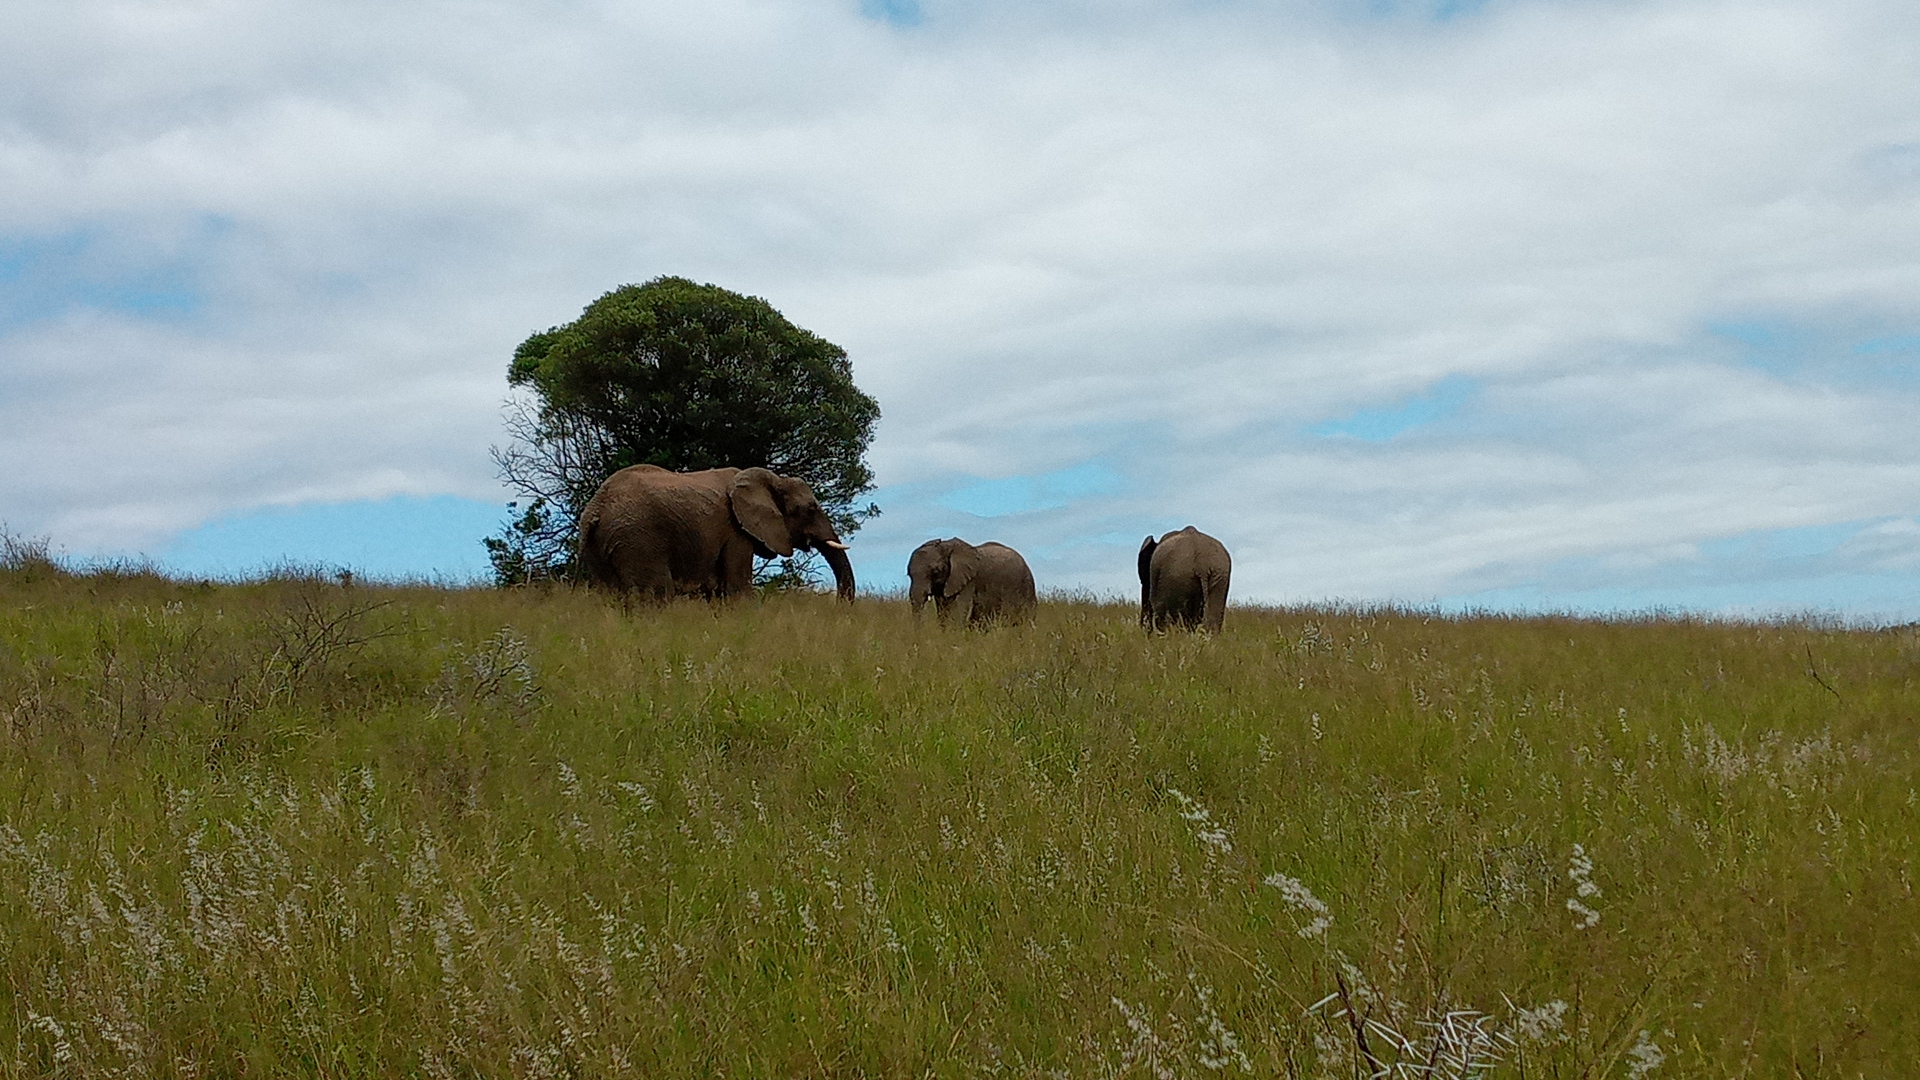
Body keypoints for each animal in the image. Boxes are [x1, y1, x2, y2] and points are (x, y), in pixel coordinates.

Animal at [572, 461, 852, 595]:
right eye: (809, 509)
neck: (772, 479)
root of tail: (595, 509)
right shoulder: (735, 531)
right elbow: (736, 587)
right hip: (637, 538)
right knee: (656, 592)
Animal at [902, 534, 1036, 622]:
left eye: (935, 571)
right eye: (909, 575)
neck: (946, 544)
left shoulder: (969, 580)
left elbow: (960, 609)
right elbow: (943, 610)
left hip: (1026, 584)